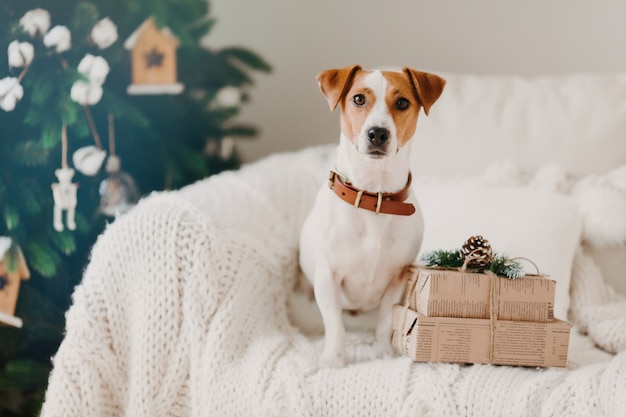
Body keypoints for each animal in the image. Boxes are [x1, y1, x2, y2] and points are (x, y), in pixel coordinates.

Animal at [298, 63, 444, 366]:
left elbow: (386, 318)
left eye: (402, 103)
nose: (377, 133)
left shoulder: (398, 277)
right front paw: (334, 358)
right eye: (358, 99)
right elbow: (335, 323)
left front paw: (382, 351)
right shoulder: (327, 277)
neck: (374, 197)